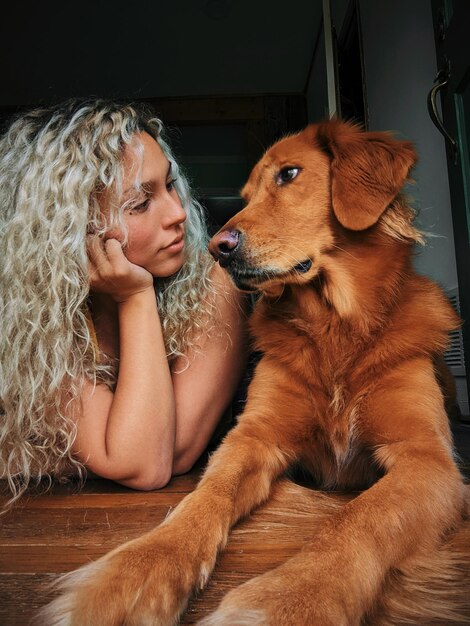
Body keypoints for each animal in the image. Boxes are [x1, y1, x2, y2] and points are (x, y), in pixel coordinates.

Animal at [39, 122, 470, 624]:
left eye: (289, 174)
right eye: (244, 195)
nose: (217, 249)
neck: (334, 329)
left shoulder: (427, 459)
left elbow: (361, 518)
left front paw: (291, 599)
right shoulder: (253, 436)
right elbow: (205, 496)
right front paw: (136, 572)